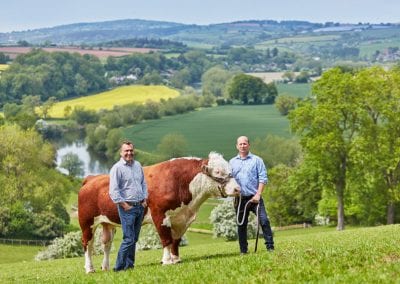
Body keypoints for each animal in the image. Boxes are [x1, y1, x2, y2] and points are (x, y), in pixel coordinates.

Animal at [79, 152, 241, 274]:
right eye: (218, 172)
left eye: (230, 170)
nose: (237, 189)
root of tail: (91, 178)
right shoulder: (160, 215)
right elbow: (166, 239)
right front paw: (167, 261)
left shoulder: (181, 220)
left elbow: (175, 241)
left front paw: (176, 259)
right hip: (87, 222)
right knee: (88, 244)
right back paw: (89, 268)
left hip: (107, 222)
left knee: (106, 244)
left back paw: (105, 267)